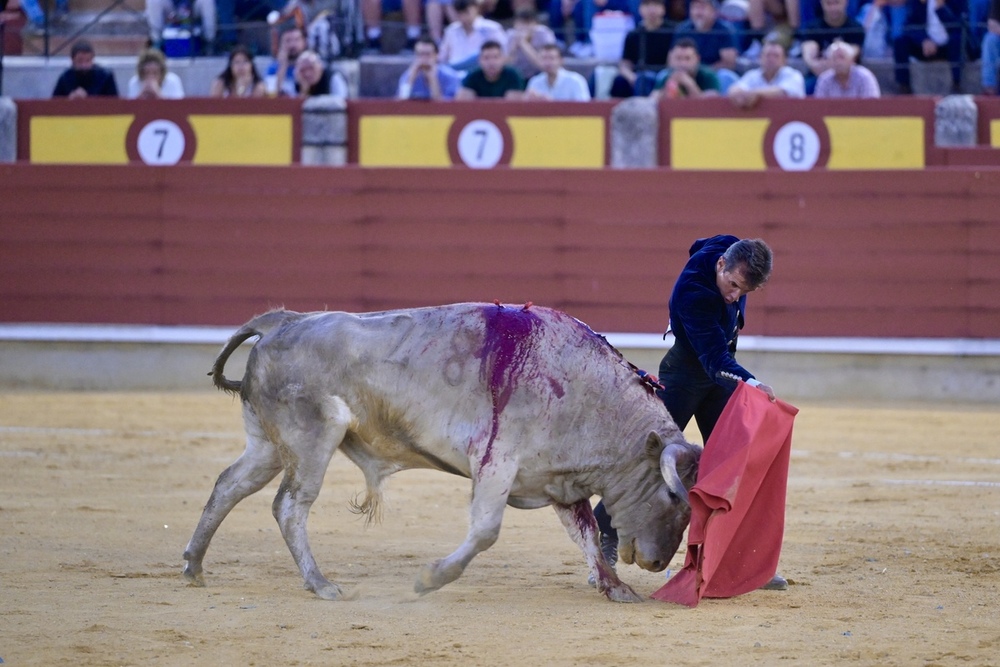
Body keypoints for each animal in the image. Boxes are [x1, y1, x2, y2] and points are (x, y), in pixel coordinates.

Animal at [184, 304, 700, 604]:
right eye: (674, 498)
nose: (658, 563)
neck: (589, 393)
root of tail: (283, 321)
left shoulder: (560, 483)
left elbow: (587, 535)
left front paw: (615, 586)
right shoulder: (496, 462)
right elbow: (487, 531)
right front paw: (431, 579)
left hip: (269, 444)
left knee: (229, 485)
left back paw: (194, 566)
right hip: (311, 436)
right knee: (290, 505)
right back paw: (320, 583)